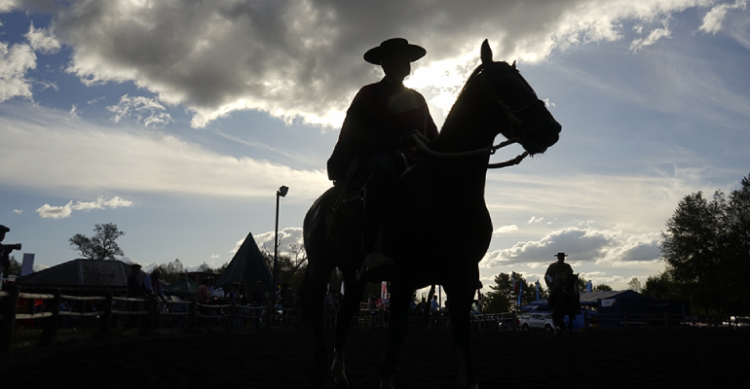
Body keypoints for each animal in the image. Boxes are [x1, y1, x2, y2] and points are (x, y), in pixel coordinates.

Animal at [296, 40, 560, 388]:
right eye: (504, 83)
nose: (551, 128)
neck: (444, 190)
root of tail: (317, 207)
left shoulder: (462, 276)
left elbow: (462, 335)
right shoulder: (404, 276)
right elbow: (397, 331)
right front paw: (385, 380)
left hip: (353, 274)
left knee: (344, 316)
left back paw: (339, 373)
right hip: (321, 265)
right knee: (317, 311)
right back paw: (320, 367)